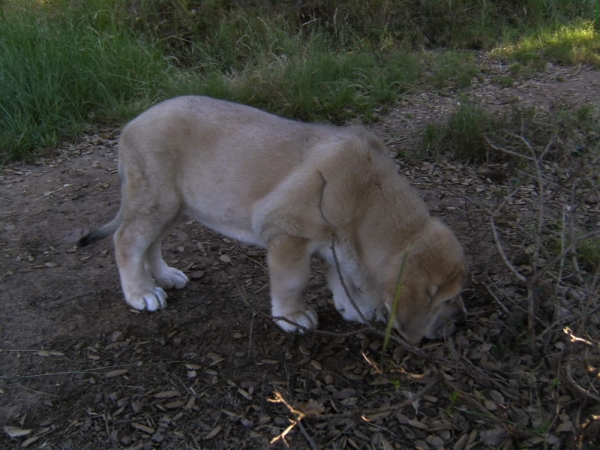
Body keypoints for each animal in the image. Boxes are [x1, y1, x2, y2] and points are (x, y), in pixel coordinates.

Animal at [79, 94, 466, 342]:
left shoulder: (337, 243)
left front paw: (355, 307)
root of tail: (131, 125)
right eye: (446, 299)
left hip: (176, 205)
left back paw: (164, 276)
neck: (367, 200)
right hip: (155, 200)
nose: (460, 325)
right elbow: (294, 280)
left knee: (152, 242)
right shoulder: (287, 232)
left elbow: (342, 278)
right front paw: (292, 317)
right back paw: (141, 293)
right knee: (127, 241)